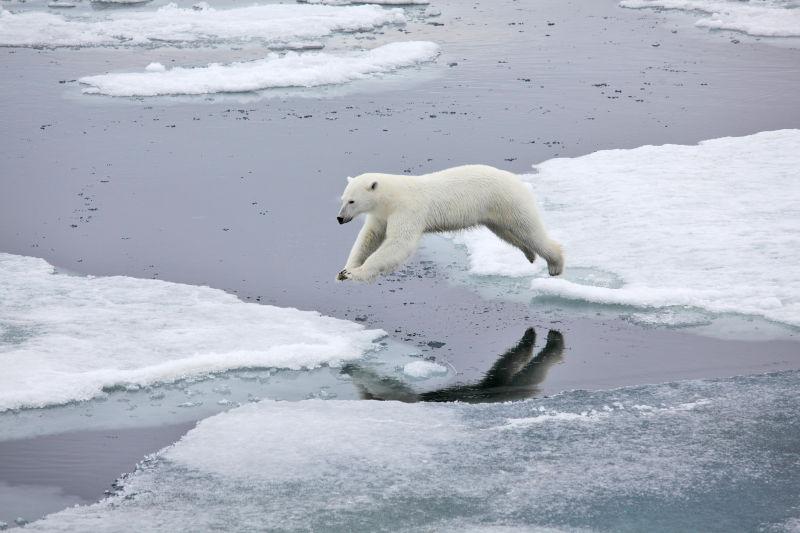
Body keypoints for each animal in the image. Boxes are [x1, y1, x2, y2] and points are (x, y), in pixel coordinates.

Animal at [334, 164, 564, 282]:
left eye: (352, 201)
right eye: (343, 199)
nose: (340, 218)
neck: (392, 196)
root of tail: (517, 180)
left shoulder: (408, 210)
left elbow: (399, 243)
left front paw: (356, 273)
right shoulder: (381, 214)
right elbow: (369, 237)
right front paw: (344, 270)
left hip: (507, 200)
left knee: (529, 229)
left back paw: (555, 264)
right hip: (494, 212)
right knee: (508, 233)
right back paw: (529, 254)